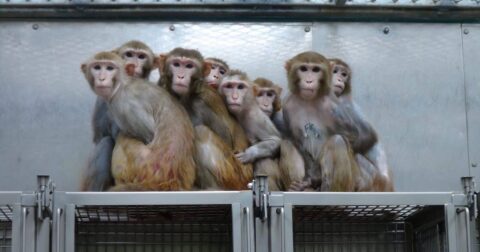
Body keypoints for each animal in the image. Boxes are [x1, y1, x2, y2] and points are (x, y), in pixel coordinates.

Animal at [81, 51, 196, 191]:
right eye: (97, 67)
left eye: (109, 68)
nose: (102, 79)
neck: (123, 84)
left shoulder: (125, 106)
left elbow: (148, 135)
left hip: (142, 167)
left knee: (123, 136)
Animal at [157, 47, 255, 189]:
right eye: (176, 64)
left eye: (189, 66)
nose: (180, 76)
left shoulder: (200, 103)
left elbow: (226, 137)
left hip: (234, 173)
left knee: (201, 132)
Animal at [282, 51, 378, 191]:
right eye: (303, 69)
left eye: (315, 70)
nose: (309, 80)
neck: (309, 101)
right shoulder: (287, 105)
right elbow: (296, 140)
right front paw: (309, 179)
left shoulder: (333, 107)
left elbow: (355, 135)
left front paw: (315, 177)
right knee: (286, 143)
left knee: (337, 141)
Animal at [330, 57, 394, 191]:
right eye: (335, 71)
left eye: (343, 74)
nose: (340, 79)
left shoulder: (343, 105)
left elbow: (369, 134)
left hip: (375, 179)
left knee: (357, 155)